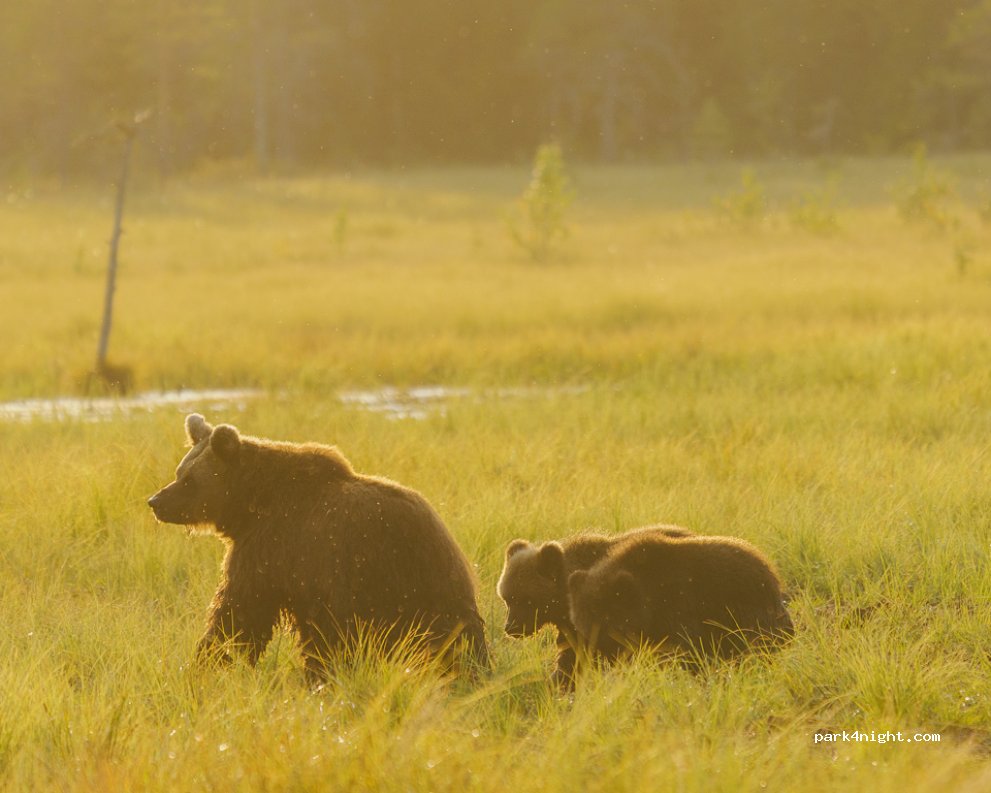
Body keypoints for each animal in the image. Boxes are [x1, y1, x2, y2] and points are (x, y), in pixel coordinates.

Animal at [147, 413, 489, 677]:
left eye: (190, 480)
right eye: (179, 471)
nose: (155, 501)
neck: (251, 504)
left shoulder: (274, 548)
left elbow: (240, 610)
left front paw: (212, 660)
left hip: (403, 582)